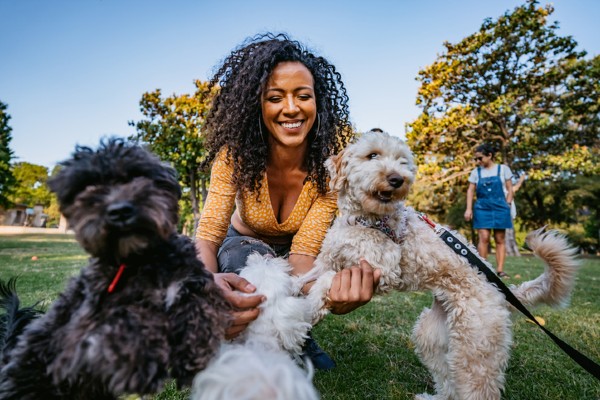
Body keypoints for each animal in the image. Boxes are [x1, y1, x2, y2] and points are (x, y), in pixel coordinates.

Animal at [0, 138, 230, 400]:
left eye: (137, 176)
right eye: (89, 187)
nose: (119, 210)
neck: (140, 260)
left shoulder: (192, 282)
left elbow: (201, 310)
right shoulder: (89, 316)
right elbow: (127, 324)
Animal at [308, 130, 580, 398]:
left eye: (402, 162)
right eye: (372, 155)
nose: (398, 179)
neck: (363, 220)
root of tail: (501, 291)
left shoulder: (381, 268)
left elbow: (327, 281)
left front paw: (310, 306)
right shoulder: (326, 260)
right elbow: (309, 277)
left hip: (475, 347)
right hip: (430, 335)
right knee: (447, 380)